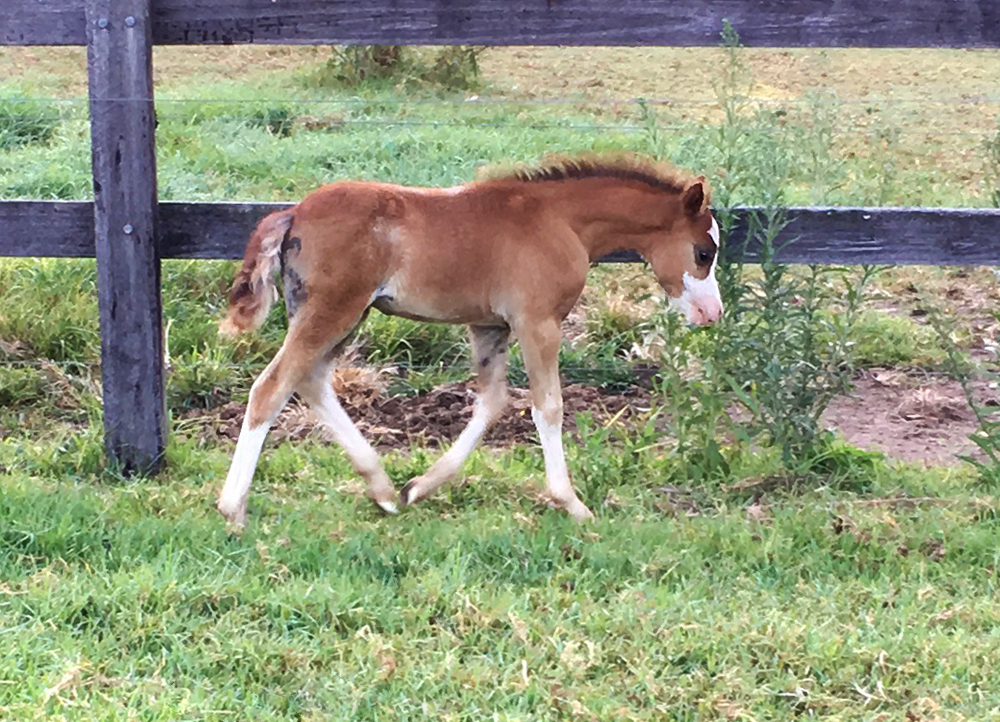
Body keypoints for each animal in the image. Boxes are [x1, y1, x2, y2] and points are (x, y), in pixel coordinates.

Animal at [215, 153, 723, 526]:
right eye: (704, 252)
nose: (711, 313)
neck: (560, 219)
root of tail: (294, 213)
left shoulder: (490, 326)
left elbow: (493, 402)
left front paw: (418, 487)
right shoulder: (538, 322)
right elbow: (549, 406)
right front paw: (571, 502)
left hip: (344, 314)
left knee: (311, 380)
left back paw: (382, 488)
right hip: (333, 310)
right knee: (272, 386)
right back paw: (233, 508)